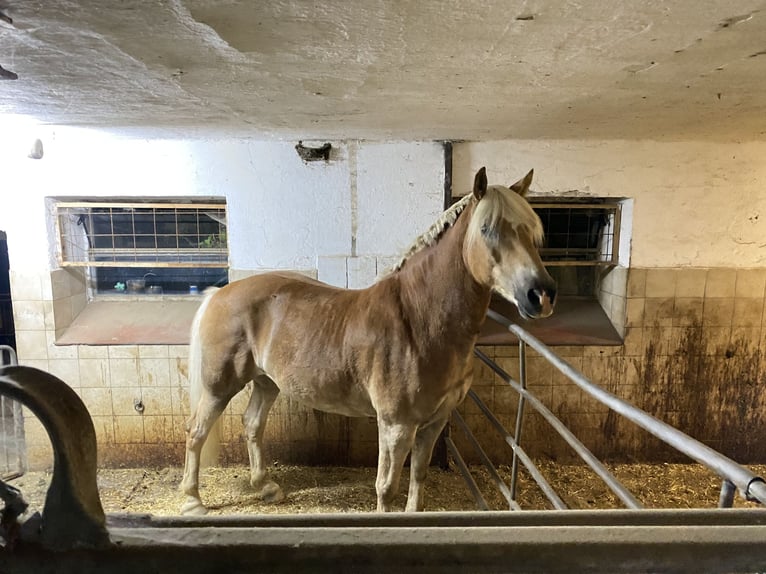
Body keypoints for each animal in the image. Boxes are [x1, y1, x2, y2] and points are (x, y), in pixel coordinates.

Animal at [180, 168, 560, 516]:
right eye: (487, 229)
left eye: (532, 231)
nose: (540, 294)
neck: (421, 322)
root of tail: (219, 294)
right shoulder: (396, 424)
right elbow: (386, 488)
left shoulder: (435, 421)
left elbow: (418, 477)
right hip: (219, 386)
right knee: (197, 431)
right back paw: (192, 501)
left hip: (266, 381)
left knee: (252, 425)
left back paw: (267, 488)